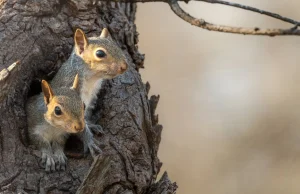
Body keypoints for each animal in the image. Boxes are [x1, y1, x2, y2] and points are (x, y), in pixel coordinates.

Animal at [49, 28, 129, 156]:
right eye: (100, 53)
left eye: (116, 45)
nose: (124, 66)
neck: (92, 78)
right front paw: (90, 141)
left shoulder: (92, 96)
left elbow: (87, 114)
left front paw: (91, 125)